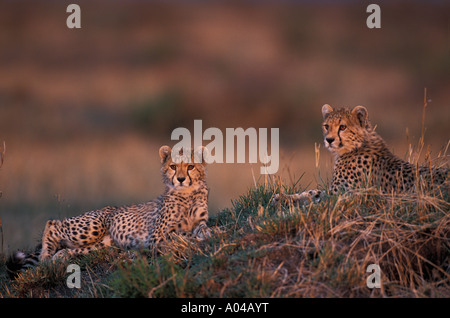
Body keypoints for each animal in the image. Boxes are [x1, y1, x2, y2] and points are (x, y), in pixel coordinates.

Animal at [7, 145, 210, 278]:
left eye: (190, 166)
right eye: (173, 166)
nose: (181, 179)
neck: (187, 194)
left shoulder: (199, 221)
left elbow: (201, 228)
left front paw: (206, 233)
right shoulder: (157, 235)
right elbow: (178, 235)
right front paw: (193, 238)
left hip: (101, 244)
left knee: (68, 249)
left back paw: (59, 257)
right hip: (92, 227)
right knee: (53, 223)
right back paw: (46, 254)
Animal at [276, 103, 448, 205]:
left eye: (342, 127)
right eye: (326, 126)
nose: (329, 140)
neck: (358, 144)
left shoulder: (340, 195)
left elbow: (315, 197)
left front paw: (285, 199)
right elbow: (313, 192)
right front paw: (282, 196)